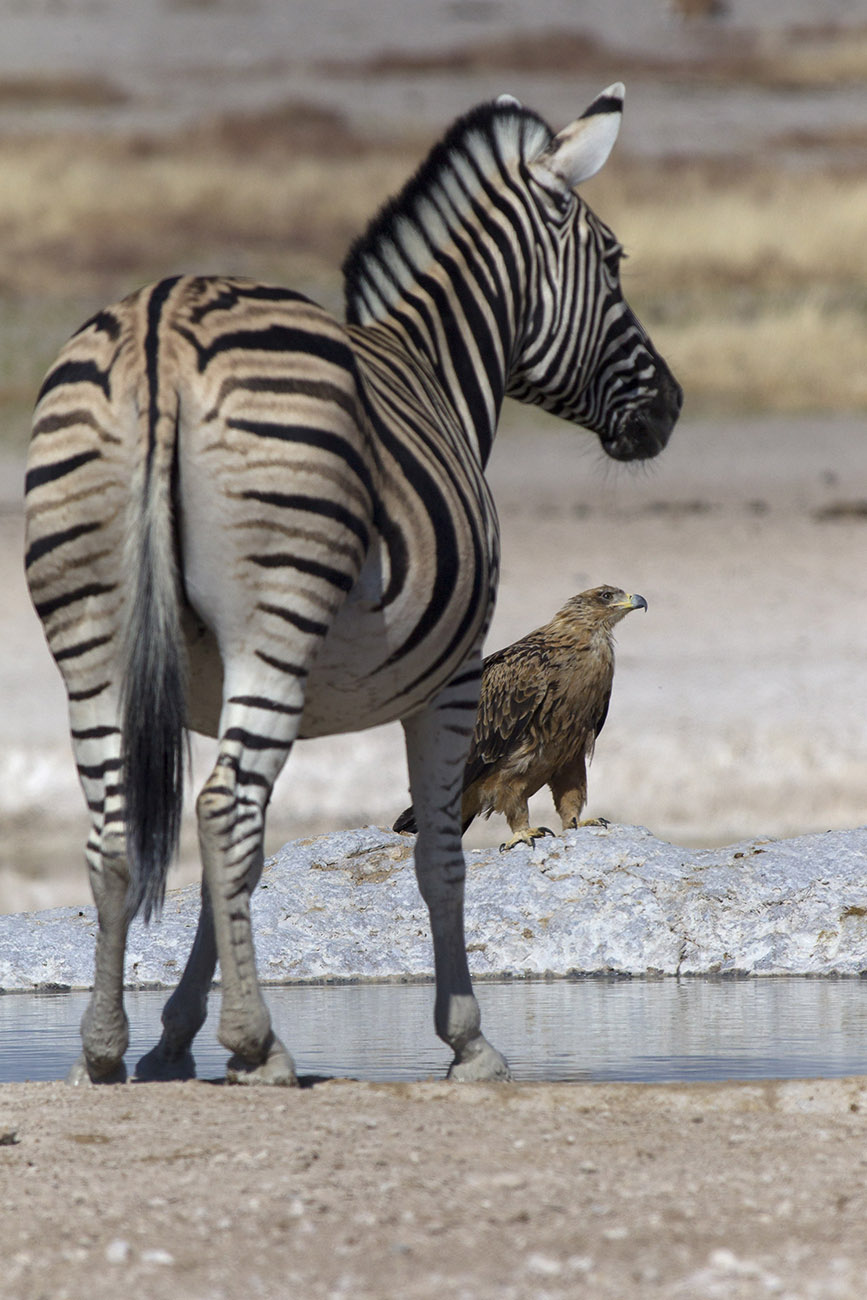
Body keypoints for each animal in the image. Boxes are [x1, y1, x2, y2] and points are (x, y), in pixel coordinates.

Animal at [24, 83, 681, 1086]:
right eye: (611, 261)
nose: (670, 406)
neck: (437, 367)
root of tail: (160, 321)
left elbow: (230, 864)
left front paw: (174, 1036)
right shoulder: (455, 680)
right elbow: (441, 853)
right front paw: (467, 1039)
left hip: (99, 642)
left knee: (122, 828)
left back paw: (102, 1053)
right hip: (279, 623)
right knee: (227, 813)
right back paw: (259, 1046)